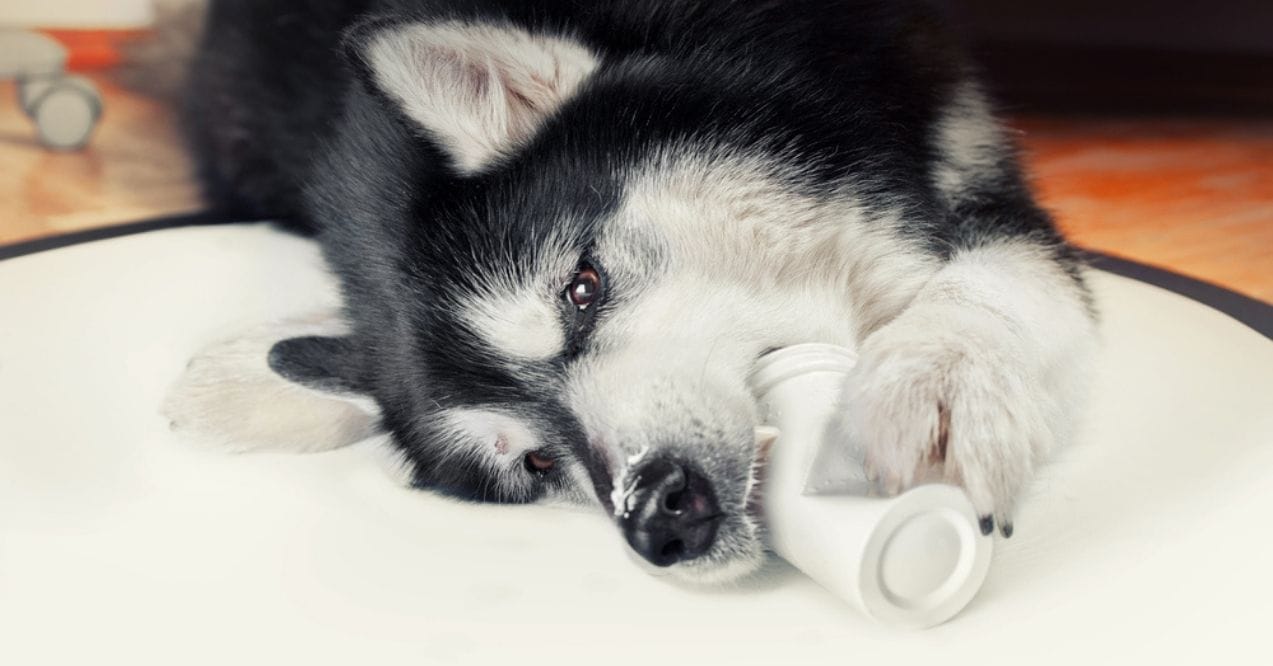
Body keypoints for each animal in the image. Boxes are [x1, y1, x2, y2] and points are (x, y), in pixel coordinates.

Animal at [166, 0, 1094, 583]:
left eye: (583, 287)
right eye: (537, 462)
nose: (657, 516)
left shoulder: (962, 148)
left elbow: (1002, 276)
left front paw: (941, 376)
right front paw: (251, 371)